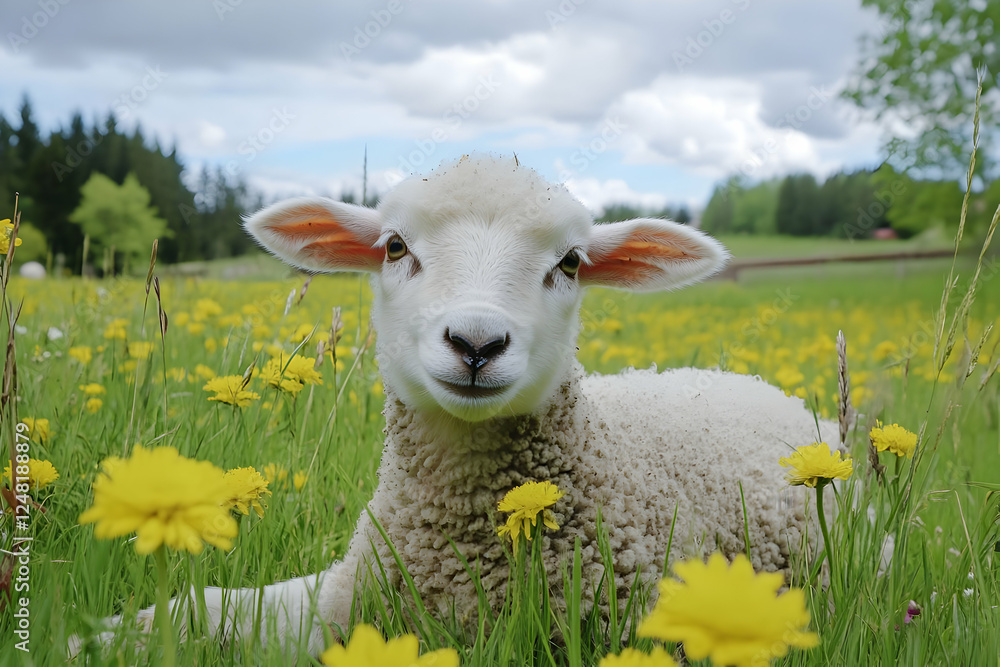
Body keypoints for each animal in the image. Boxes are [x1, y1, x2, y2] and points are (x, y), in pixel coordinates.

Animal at [76, 154, 836, 657]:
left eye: (570, 262)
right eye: (394, 246)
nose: (476, 341)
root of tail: (746, 380)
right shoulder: (347, 594)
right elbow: (217, 607)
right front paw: (111, 633)